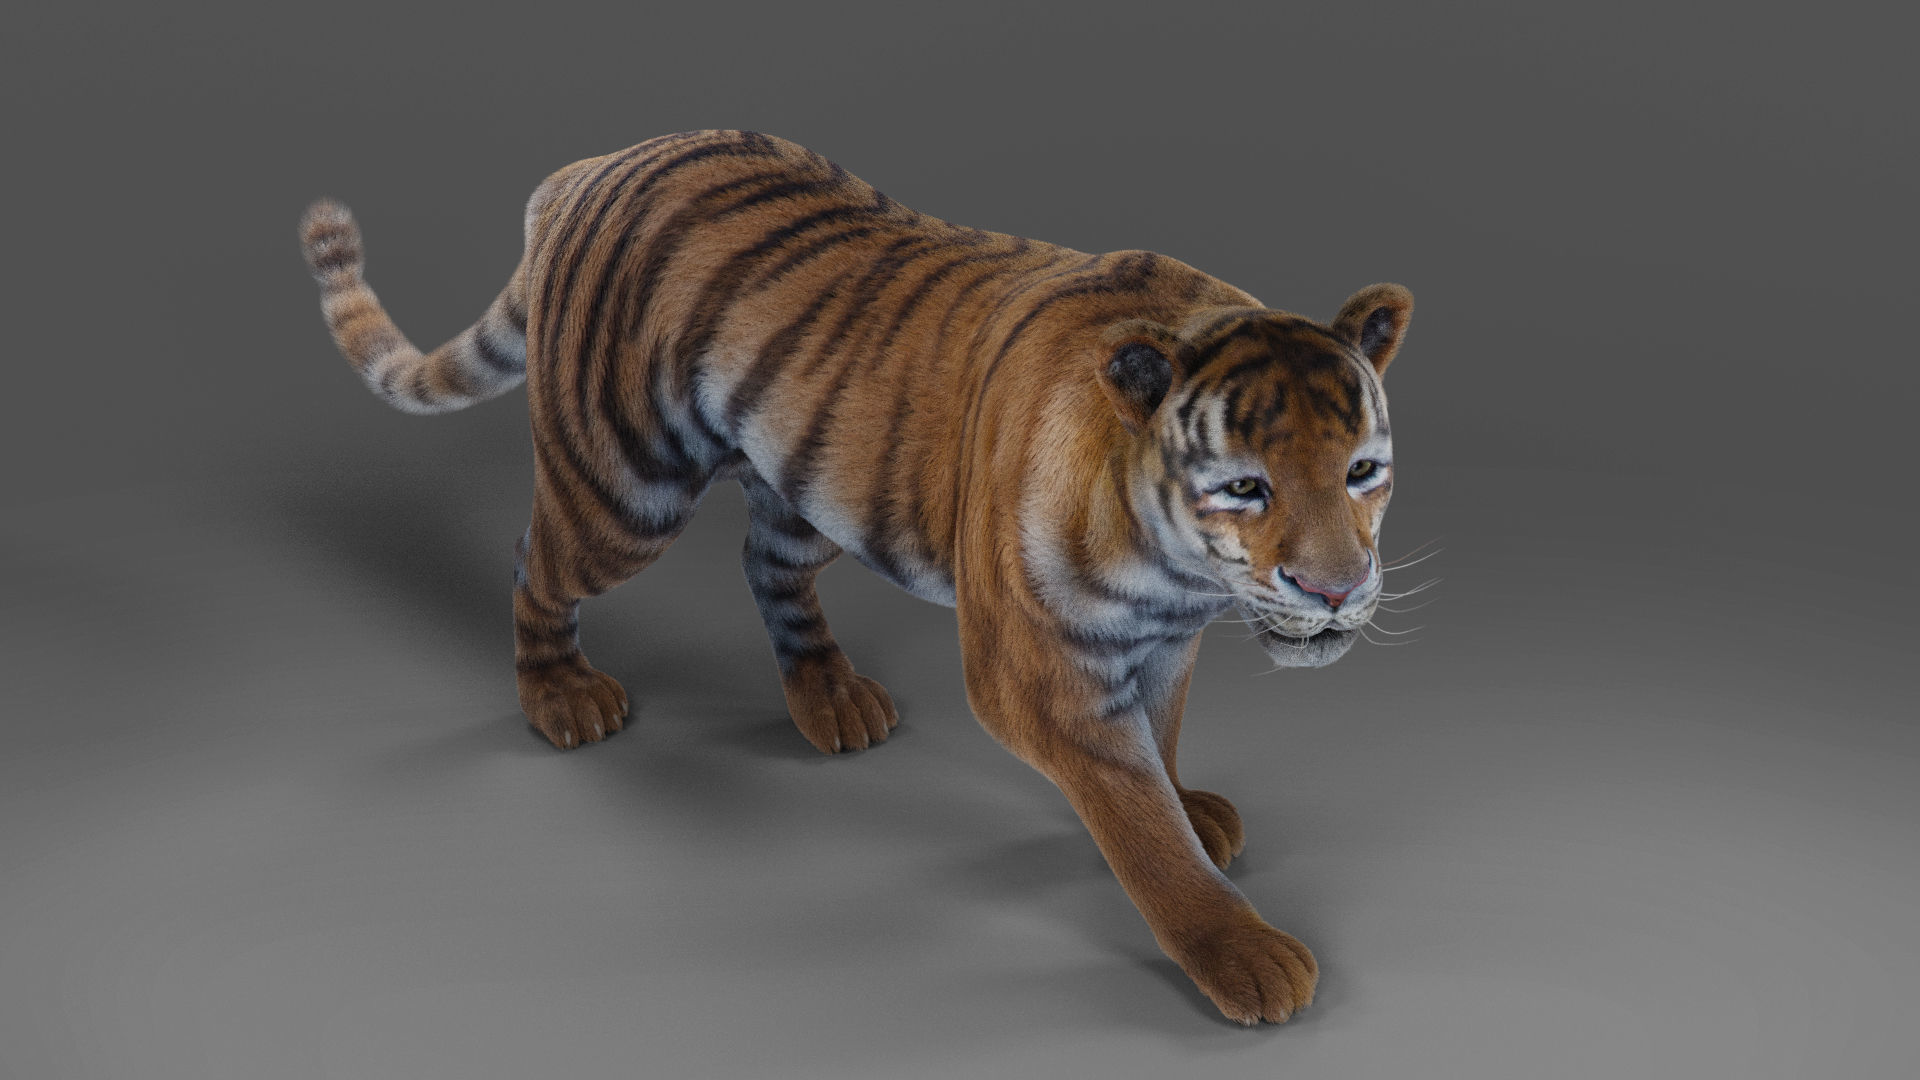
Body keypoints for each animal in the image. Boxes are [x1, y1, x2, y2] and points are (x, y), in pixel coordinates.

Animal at [298, 129, 1414, 1026]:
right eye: (1244, 487)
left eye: (1362, 470)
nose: (1334, 589)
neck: (1178, 572)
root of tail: (595, 166)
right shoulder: (1036, 676)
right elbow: (1137, 820)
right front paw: (1242, 951)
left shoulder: (1166, 645)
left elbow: (1162, 747)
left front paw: (1194, 809)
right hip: (623, 490)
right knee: (537, 564)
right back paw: (560, 698)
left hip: (807, 491)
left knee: (765, 566)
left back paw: (830, 698)